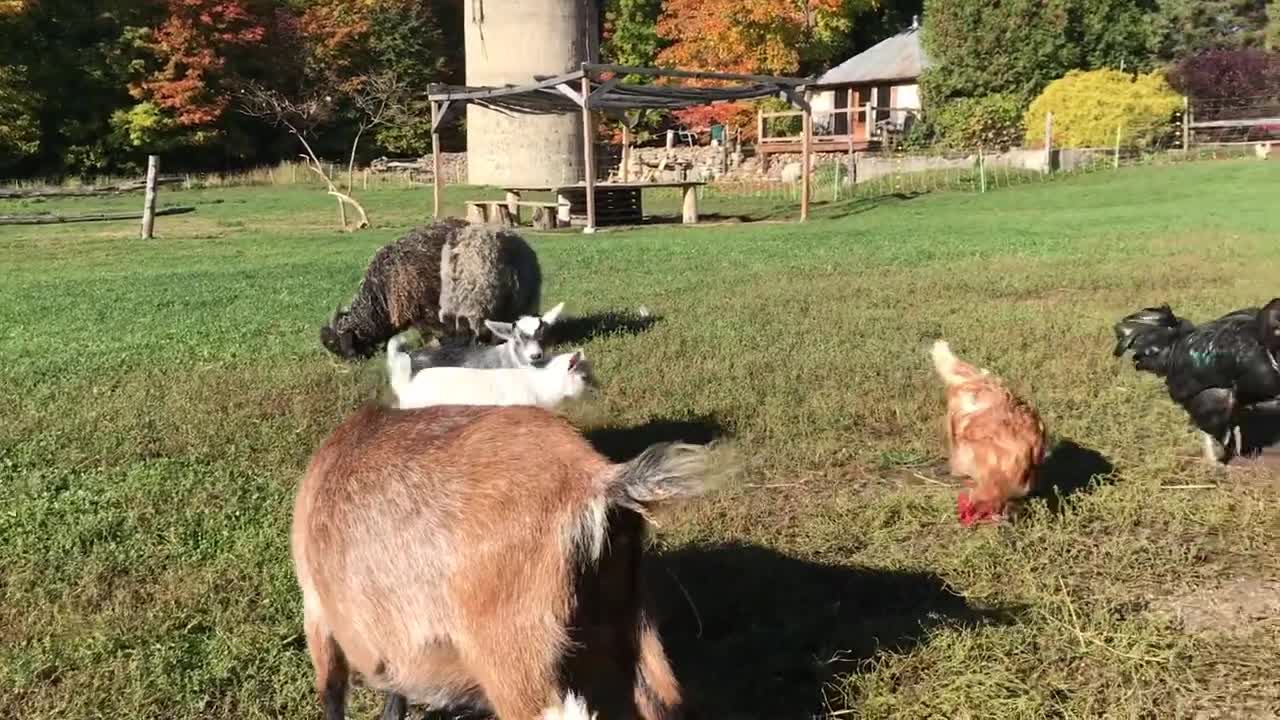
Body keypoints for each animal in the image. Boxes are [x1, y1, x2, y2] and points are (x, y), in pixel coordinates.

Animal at [293, 404, 732, 717]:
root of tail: (594, 479)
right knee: (664, 699)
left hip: (517, 662)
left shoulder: (316, 610)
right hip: (632, 622)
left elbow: (331, 691)